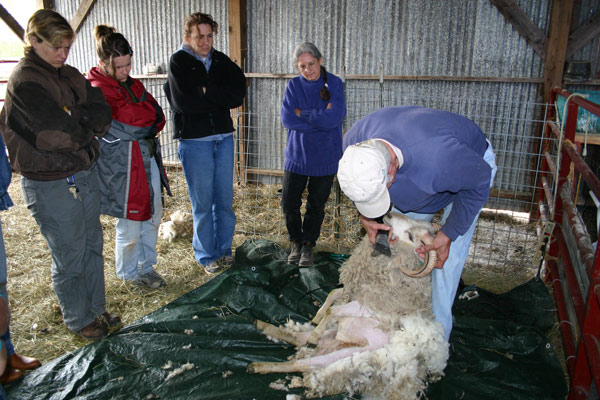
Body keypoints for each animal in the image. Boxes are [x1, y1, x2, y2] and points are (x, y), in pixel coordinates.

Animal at [246, 211, 448, 398]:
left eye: (411, 236)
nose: (389, 214)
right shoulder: (354, 291)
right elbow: (334, 294)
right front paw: (318, 315)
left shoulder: (367, 306)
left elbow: (334, 310)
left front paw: (321, 318)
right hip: (334, 337)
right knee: (299, 339)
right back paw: (264, 327)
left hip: (345, 358)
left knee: (300, 363)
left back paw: (260, 365)